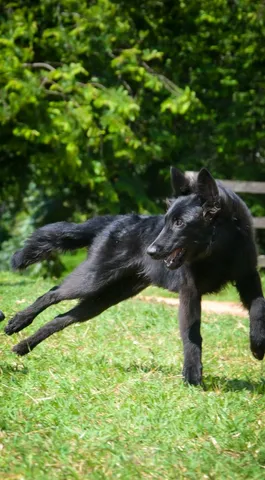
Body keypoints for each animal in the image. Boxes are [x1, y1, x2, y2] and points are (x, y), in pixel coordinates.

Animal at [3, 167, 264, 384]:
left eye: (179, 223)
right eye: (166, 221)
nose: (150, 251)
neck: (220, 250)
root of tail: (116, 220)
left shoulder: (249, 277)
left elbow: (258, 308)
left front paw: (257, 344)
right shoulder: (190, 291)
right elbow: (192, 336)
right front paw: (192, 376)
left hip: (106, 298)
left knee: (61, 318)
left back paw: (24, 346)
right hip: (92, 281)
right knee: (52, 293)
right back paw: (17, 322)